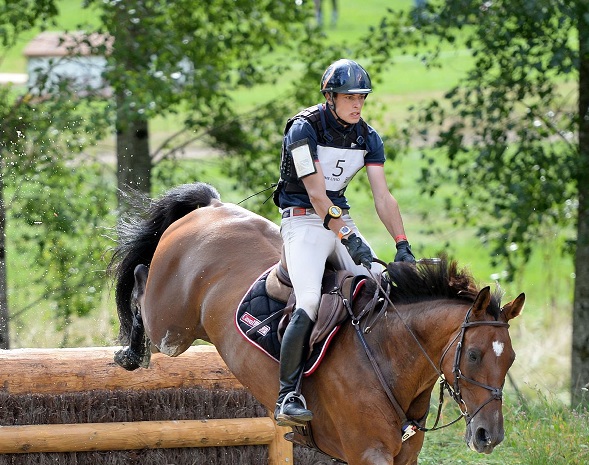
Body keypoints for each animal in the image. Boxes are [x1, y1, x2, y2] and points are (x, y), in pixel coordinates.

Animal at [107, 182, 524, 464]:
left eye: (510, 360)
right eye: (473, 355)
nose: (489, 436)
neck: (387, 355)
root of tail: (211, 205)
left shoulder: (404, 456)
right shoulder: (367, 453)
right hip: (170, 328)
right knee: (141, 281)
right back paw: (130, 352)